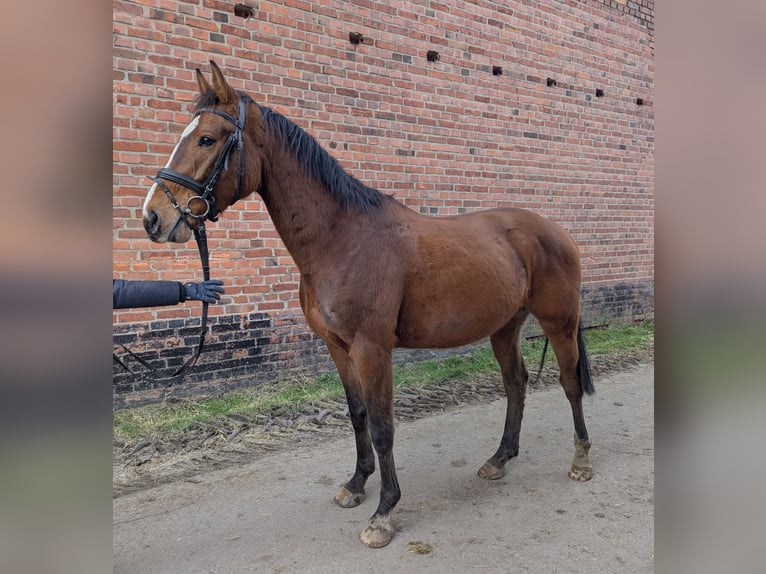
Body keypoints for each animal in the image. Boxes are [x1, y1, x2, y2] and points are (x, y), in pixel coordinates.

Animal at [142, 61, 595, 548]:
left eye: (207, 138)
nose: (152, 218)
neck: (342, 240)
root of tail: (557, 232)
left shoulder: (371, 349)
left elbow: (382, 425)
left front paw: (383, 512)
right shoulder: (338, 348)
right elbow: (358, 415)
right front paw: (357, 485)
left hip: (559, 321)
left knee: (570, 383)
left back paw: (581, 460)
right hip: (505, 326)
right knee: (516, 383)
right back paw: (499, 459)